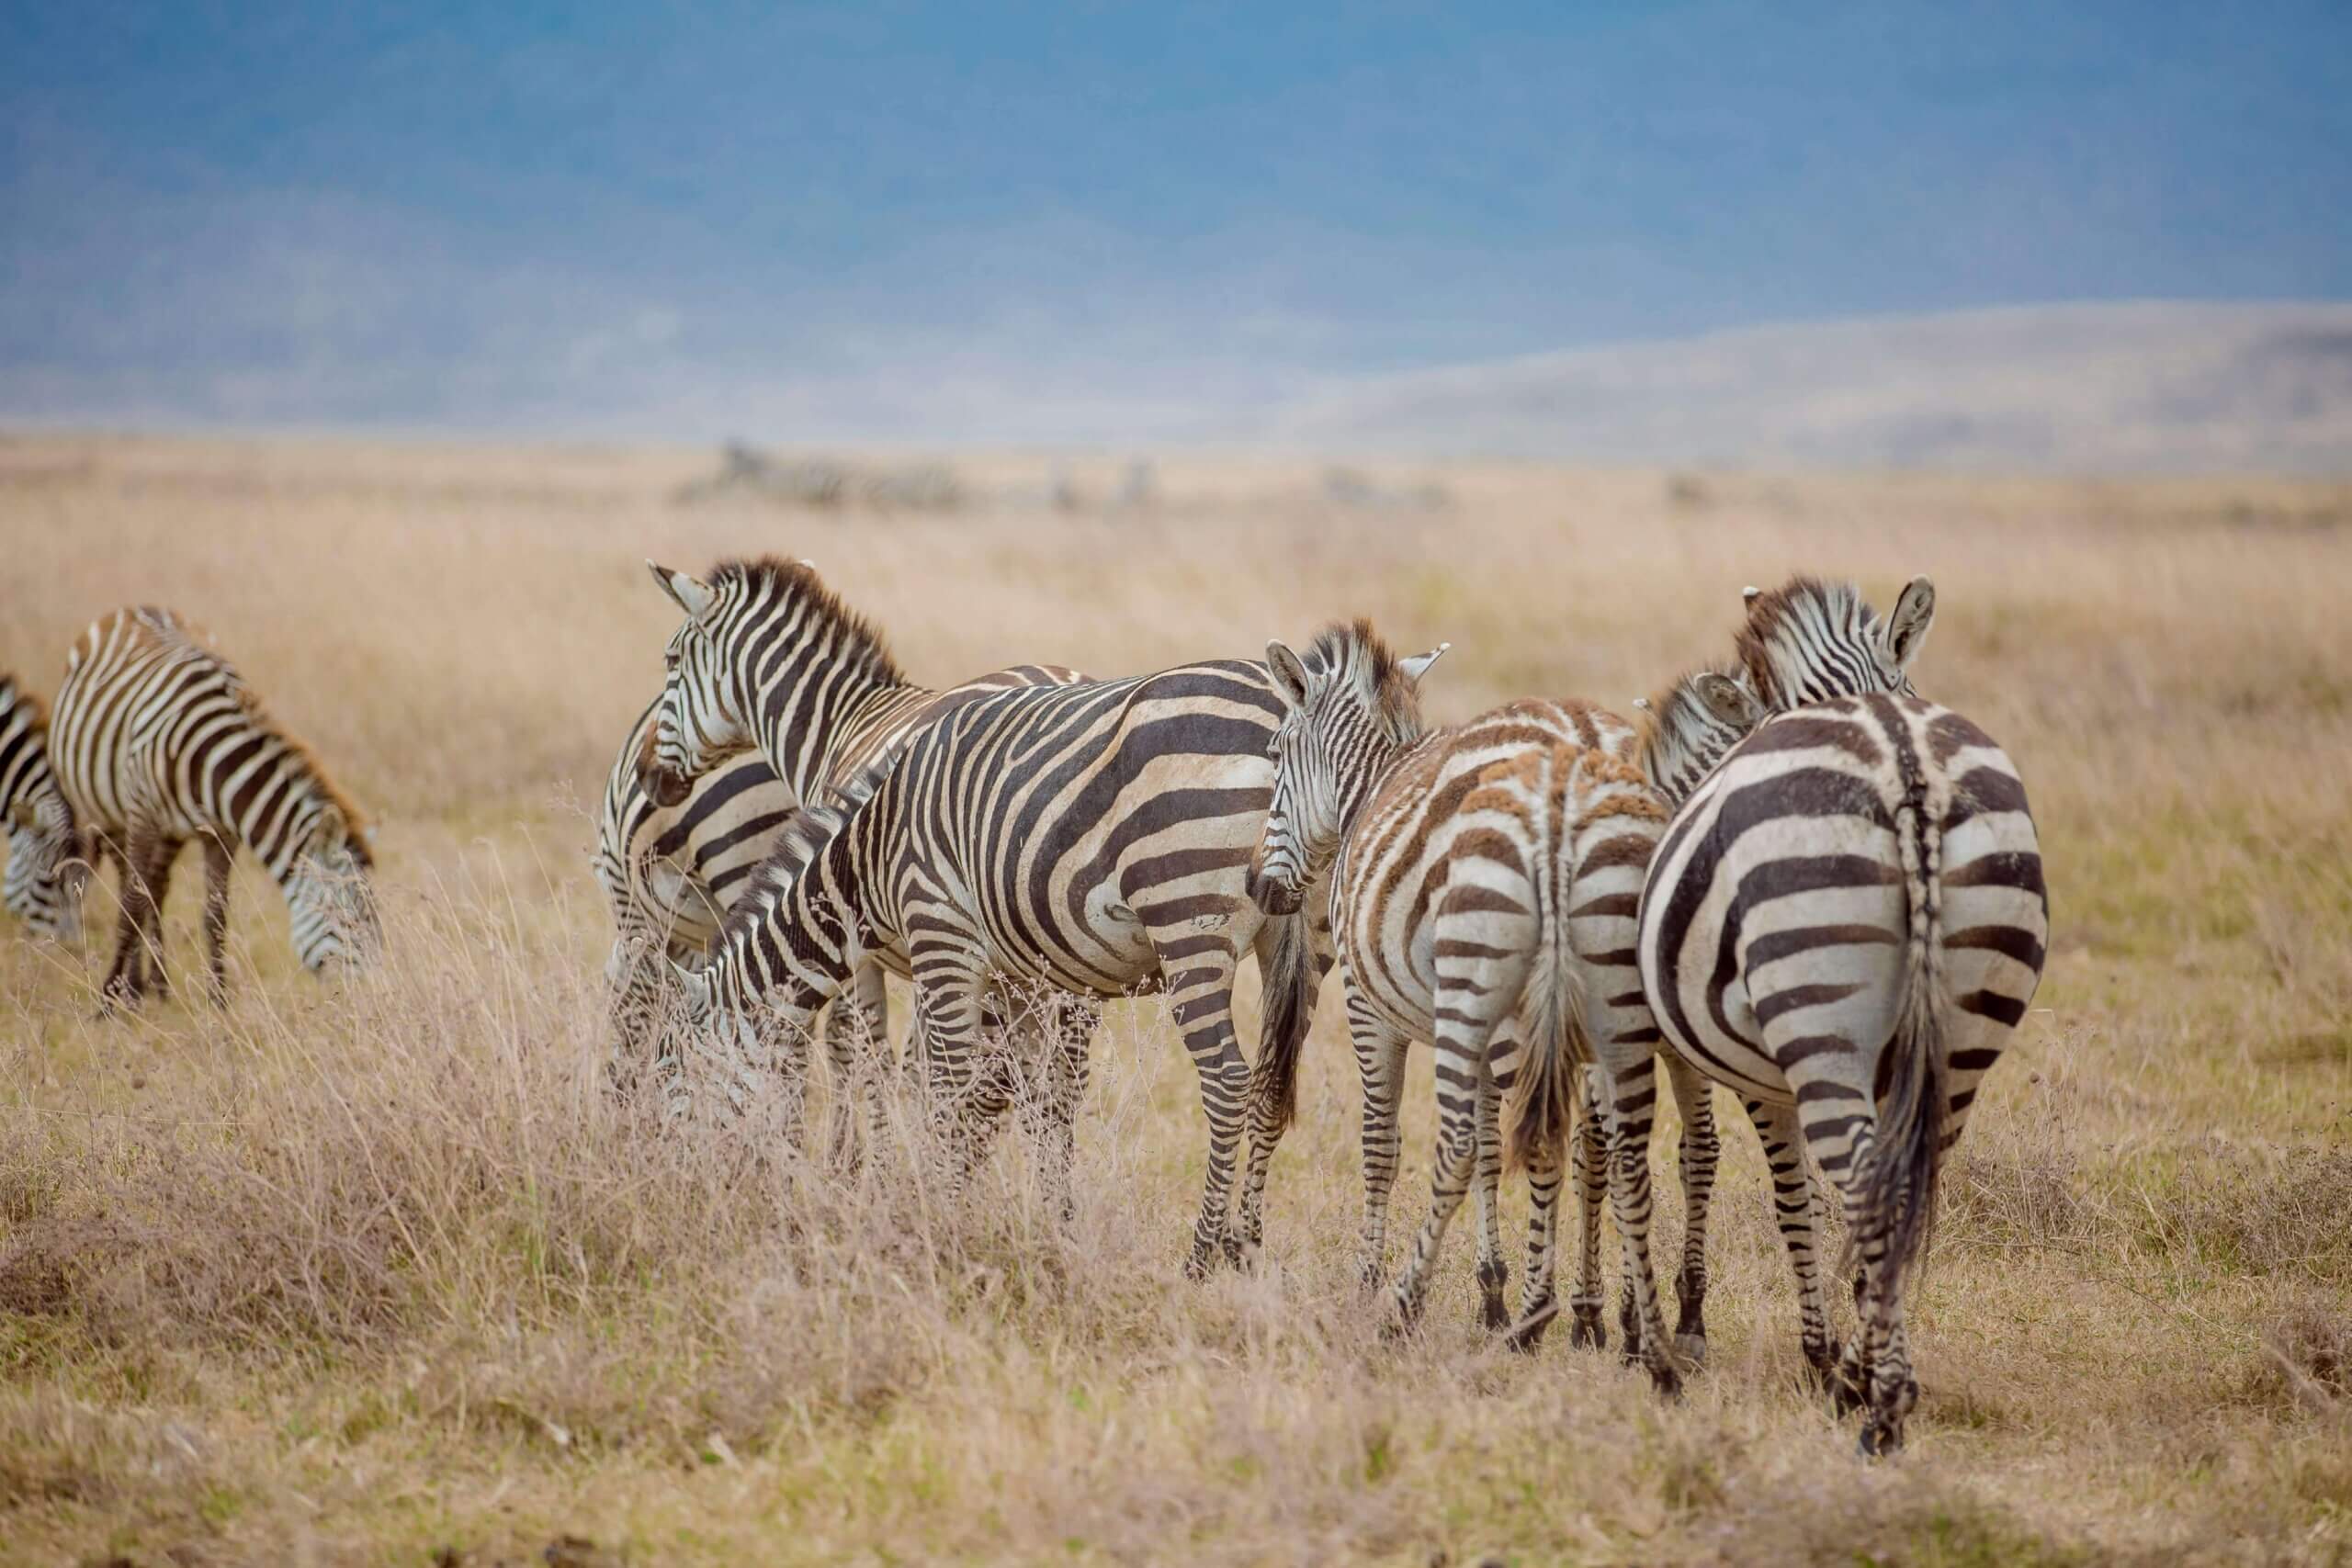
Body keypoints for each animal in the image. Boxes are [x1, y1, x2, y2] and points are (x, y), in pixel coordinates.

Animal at [50, 607, 379, 1006]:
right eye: (348, 922)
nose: (373, 996)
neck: (215, 767)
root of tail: (133, 608)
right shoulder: (143, 816)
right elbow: (130, 906)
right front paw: (108, 1000)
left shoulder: (222, 833)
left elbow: (216, 914)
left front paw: (219, 998)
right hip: (108, 812)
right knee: (133, 883)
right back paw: (132, 986)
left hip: (170, 833)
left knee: (157, 888)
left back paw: (157, 985)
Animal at [643, 556, 1331, 1275]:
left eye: (671, 661)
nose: (666, 1196)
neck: (868, 849)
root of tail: (1280, 701)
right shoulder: (1020, 975)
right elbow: (1024, 1093)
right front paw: (1042, 1219)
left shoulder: (930, 939)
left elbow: (916, 1074)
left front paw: (919, 1209)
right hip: (1298, 939)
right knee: (1269, 1085)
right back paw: (1245, 1246)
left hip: (1186, 920)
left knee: (1226, 1080)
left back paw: (1199, 1257)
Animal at [1240, 621, 1707, 1390]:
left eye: (1276, 755)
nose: (1257, 886)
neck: (1365, 788)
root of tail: (1580, 747)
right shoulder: (1476, 1021)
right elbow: (1493, 1147)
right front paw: (1493, 1292)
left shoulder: (1374, 1008)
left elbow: (1387, 1143)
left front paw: (1370, 1282)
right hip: (1602, 999)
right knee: (1615, 1145)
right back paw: (1635, 1338)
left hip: (1510, 1001)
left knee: (1515, 1139)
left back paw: (1488, 1315)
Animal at [1638, 576, 2048, 1453]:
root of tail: (1903, 763)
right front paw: (1846, 1346)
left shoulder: (1766, 1080)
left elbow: (1791, 1196)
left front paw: (1818, 1351)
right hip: (1968, 1027)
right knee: (1904, 1182)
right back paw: (1874, 1382)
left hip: (1815, 1020)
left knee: (1860, 1181)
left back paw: (1879, 1405)